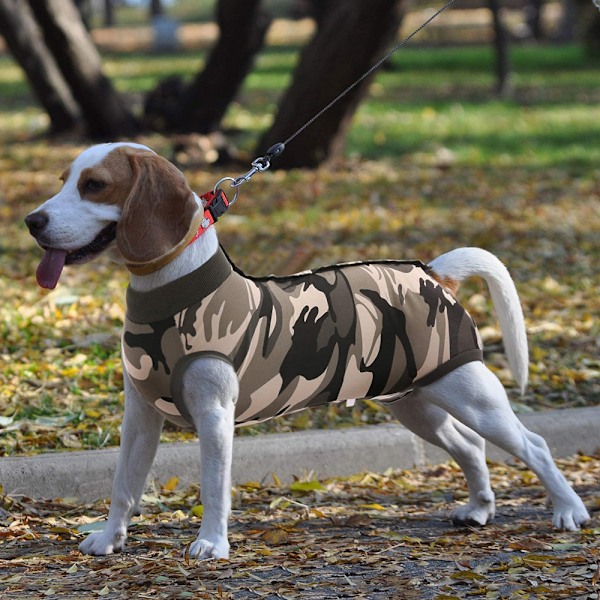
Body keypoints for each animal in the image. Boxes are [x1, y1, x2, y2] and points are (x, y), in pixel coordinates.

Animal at [25, 144, 588, 556]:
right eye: (63, 180)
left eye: (94, 185)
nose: (32, 221)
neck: (171, 291)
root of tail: (434, 272)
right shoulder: (140, 416)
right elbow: (124, 484)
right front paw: (109, 539)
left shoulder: (214, 416)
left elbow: (213, 486)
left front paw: (211, 544)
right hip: (417, 405)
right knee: (470, 446)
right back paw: (480, 508)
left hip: (474, 397)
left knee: (533, 445)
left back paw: (568, 511)